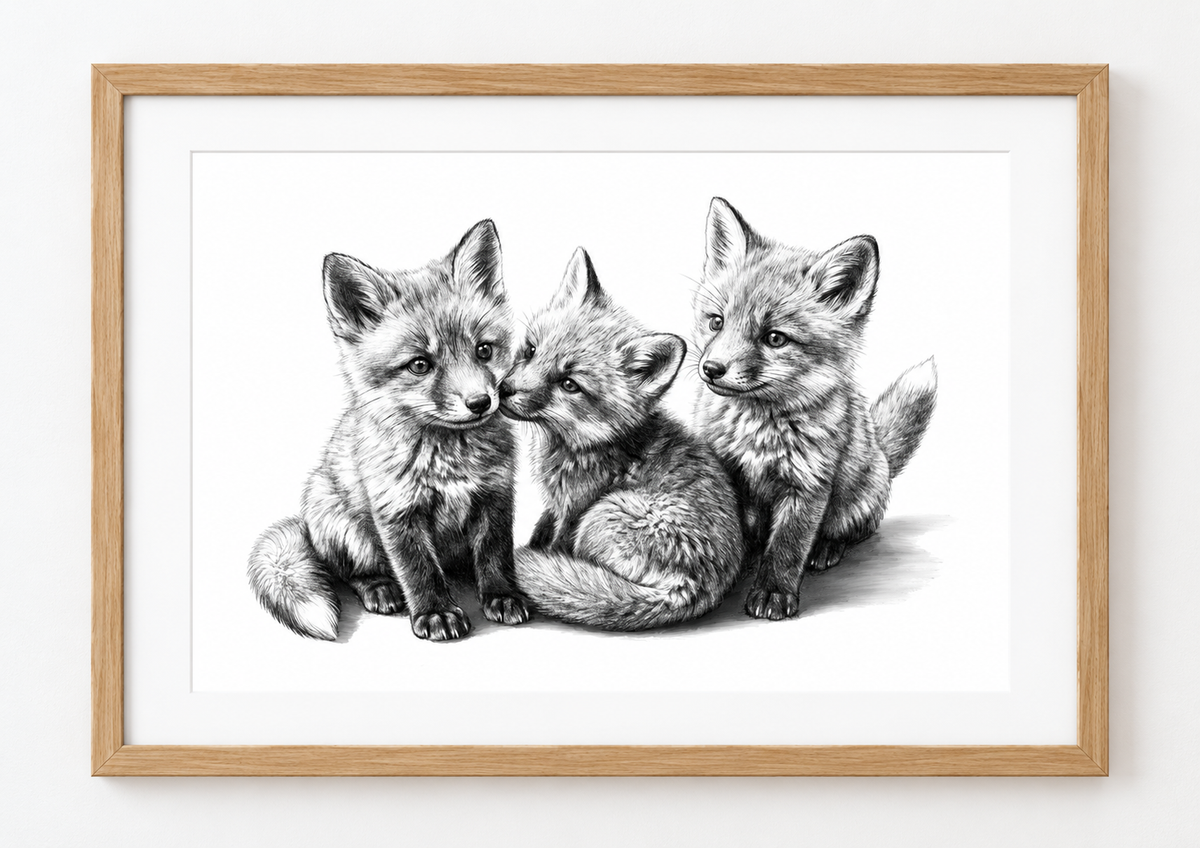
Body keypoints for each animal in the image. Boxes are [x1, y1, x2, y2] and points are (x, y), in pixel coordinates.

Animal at [247, 219, 529, 642]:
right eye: (419, 364)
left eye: (484, 350)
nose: (480, 402)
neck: (450, 459)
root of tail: (306, 526)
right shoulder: (397, 510)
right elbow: (419, 569)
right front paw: (436, 613)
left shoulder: (495, 496)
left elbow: (495, 556)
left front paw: (502, 596)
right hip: (345, 528)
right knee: (354, 573)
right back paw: (380, 588)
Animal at [500, 247, 744, 630]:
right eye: (530, 351)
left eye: (569, 384)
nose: (503, 391)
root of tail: (693, 587)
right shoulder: (555, 506)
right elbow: (543, 528)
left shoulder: (575, 508)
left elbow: (555, 544)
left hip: (600, 516)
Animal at [692, 198, 938, 621]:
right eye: (716, 322)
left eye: (775, 338)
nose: (712, 369)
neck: (758, 431)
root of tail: (883, 456)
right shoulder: (728, 472)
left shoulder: (808, 484)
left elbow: (788, 546)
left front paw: (773, 592)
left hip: (857, 498)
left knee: (852, 530)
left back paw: (826, 549)